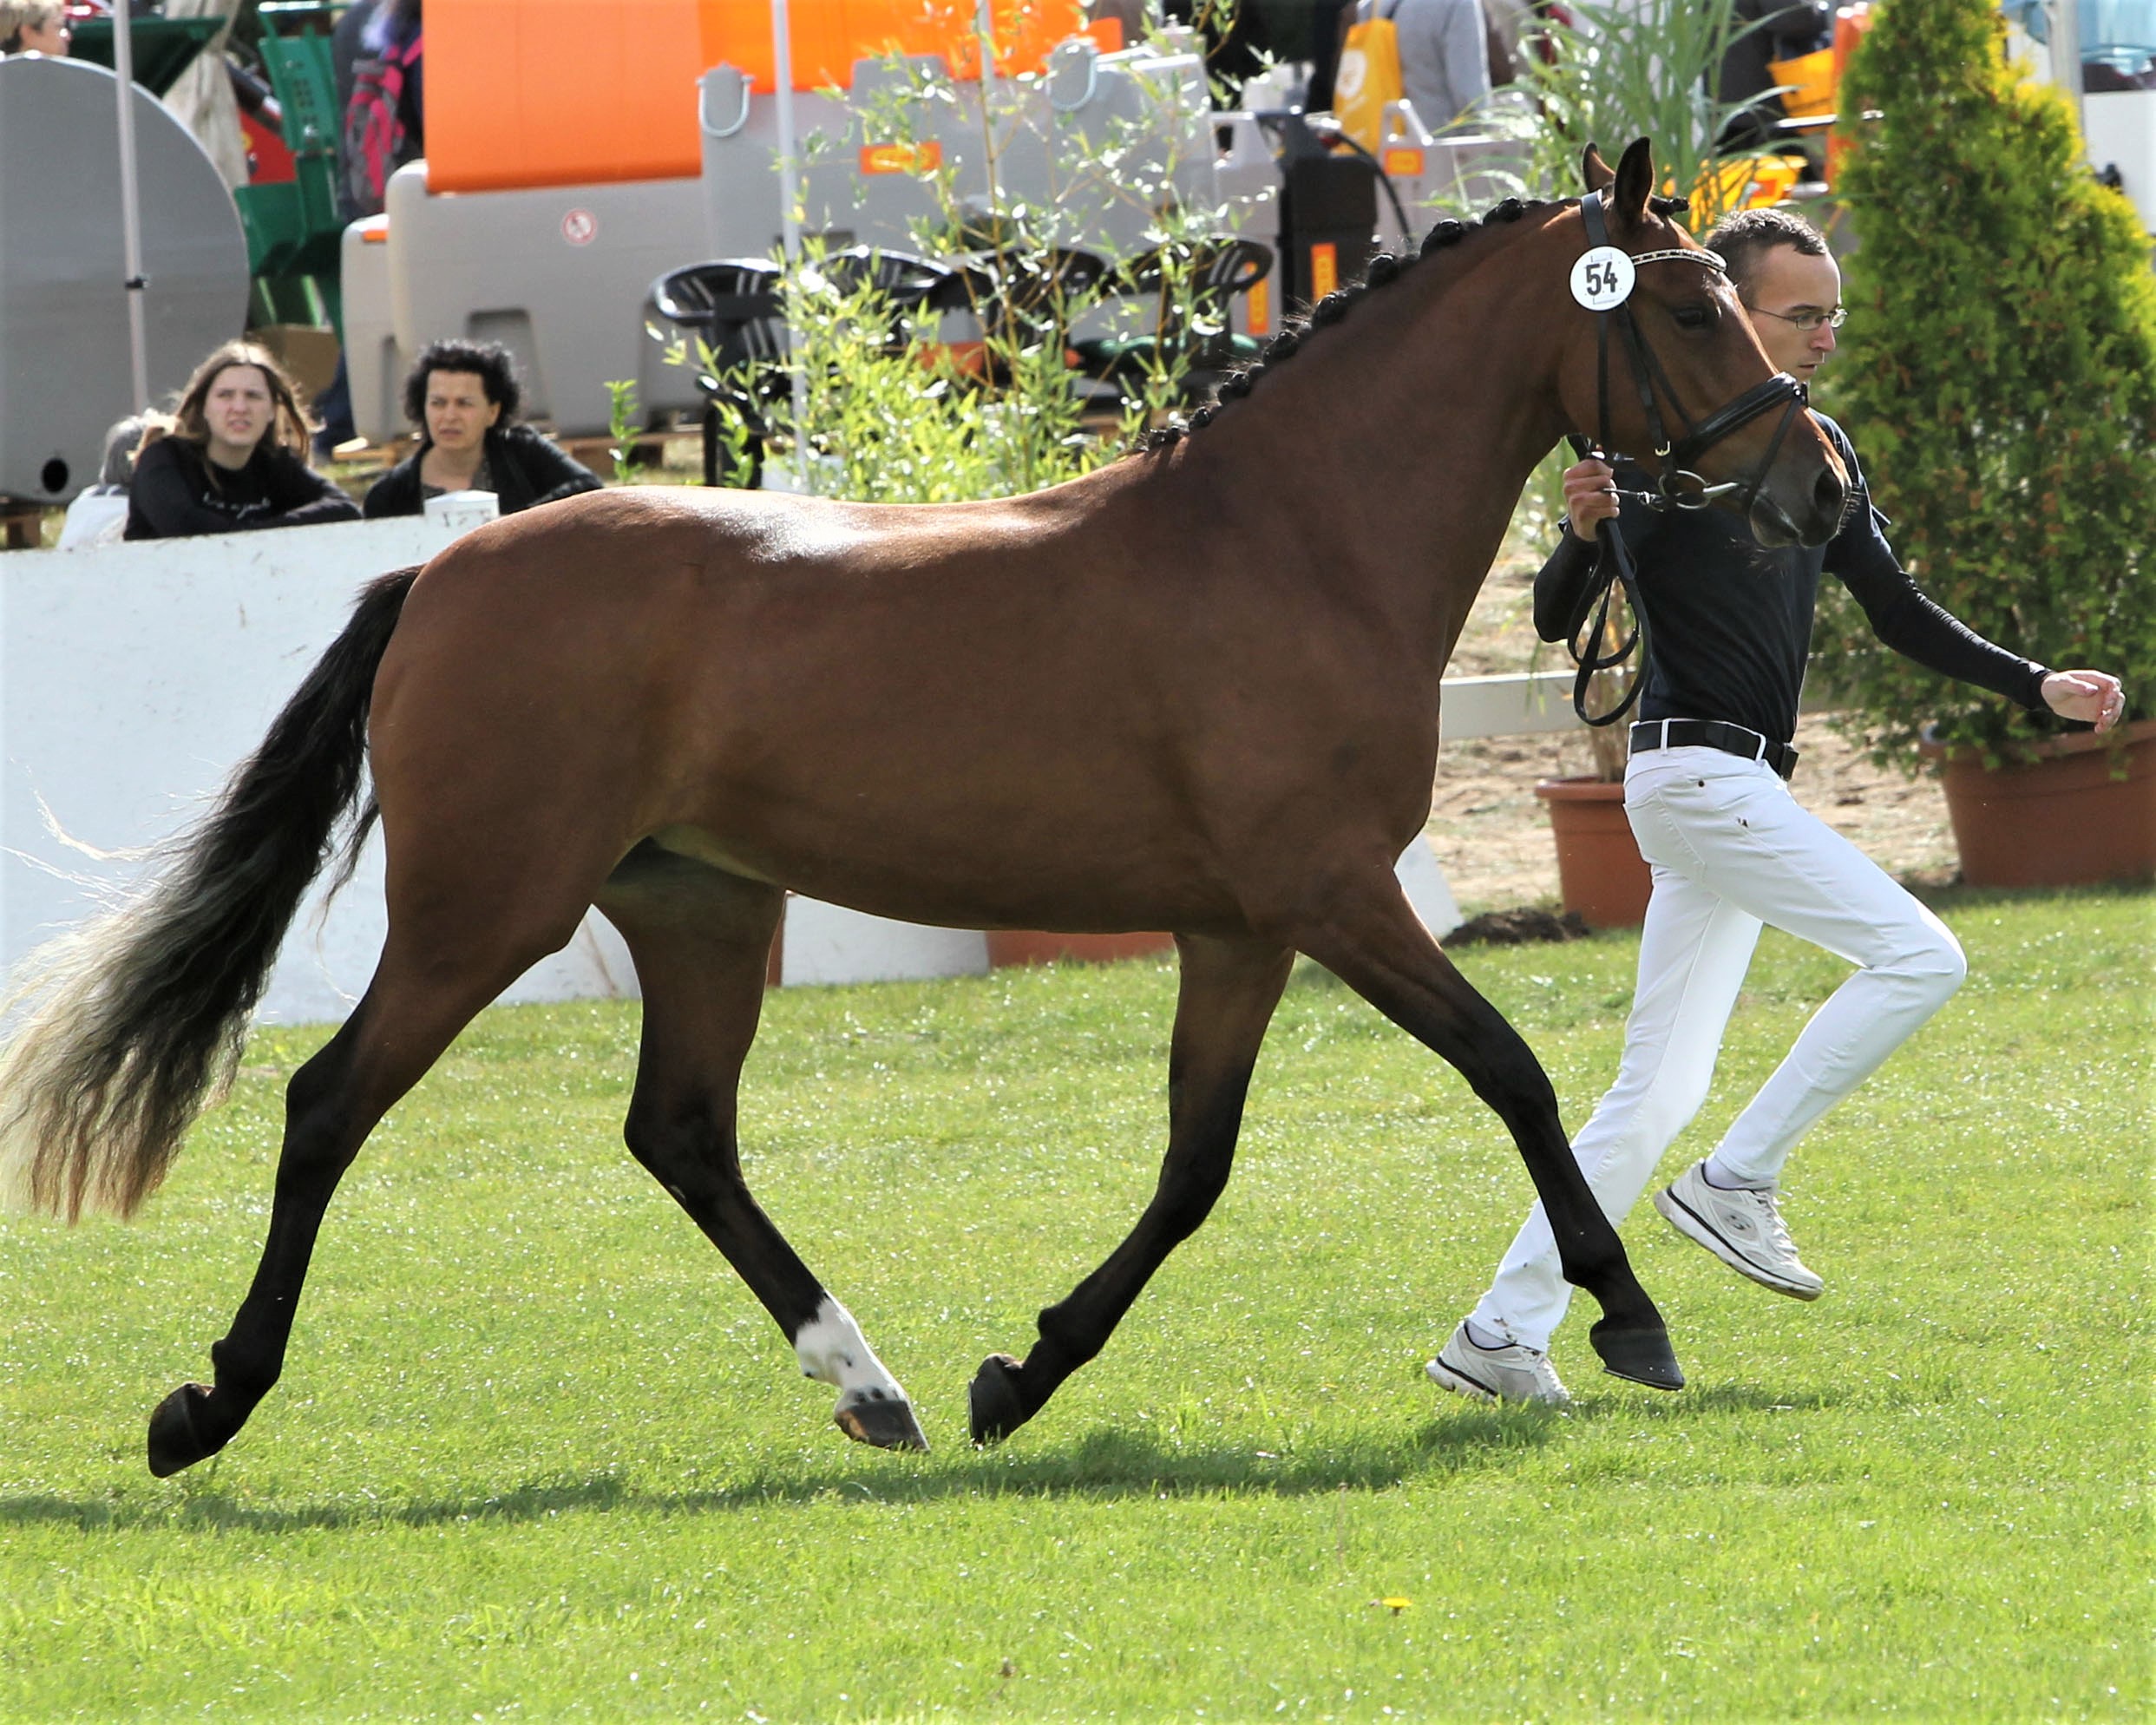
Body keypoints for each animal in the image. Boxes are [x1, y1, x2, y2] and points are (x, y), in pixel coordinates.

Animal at [3, 141, 1854, 1474]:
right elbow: (1513, 1072)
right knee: (330, 1104)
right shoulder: (1336, 896)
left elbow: (1195, 1163)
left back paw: (871, 1384)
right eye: (1693, 314)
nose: (1821, 487)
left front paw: (1018, 1374)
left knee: (681, 1131)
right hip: (487, 910)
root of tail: (441, 567)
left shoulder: (1239, 927)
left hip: (697, 904)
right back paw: (208, 1405)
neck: (1294, 539)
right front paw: (1629, 1318)